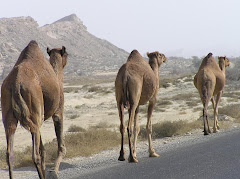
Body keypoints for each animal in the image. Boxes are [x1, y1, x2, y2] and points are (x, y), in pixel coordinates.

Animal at [1, 39, 67, 178]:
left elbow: (43, 150)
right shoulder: (58, 111)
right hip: (33, 106)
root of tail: (16, 83)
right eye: (66, 54)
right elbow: (61, 147)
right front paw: (53, 171)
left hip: (9, 112)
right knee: (35, 155)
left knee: (9, 154)